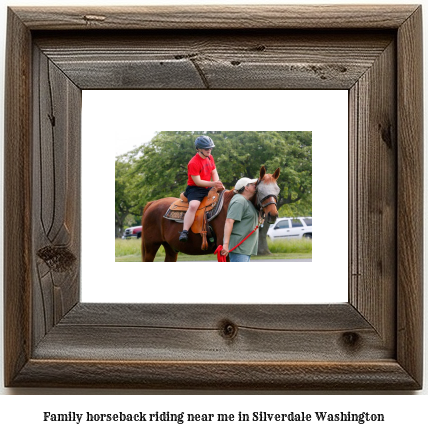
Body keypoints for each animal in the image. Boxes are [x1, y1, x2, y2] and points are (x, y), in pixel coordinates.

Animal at [141, 166, 280, 262]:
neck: (228, 206)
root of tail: (152, 203)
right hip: (150, 247)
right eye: (260, 190)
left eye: (277, 189)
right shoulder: (225, 251)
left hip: (170, 248)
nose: (272, 214)